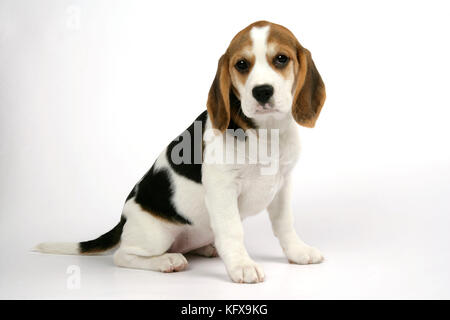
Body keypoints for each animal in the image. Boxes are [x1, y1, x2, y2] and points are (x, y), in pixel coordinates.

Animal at [34, 21, 324, 284]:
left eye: (281, 59)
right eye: (242, 64)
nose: (262, 91)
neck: (266, 132)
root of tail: (123, 219)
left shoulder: (282, 185)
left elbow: (285, 224)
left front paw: (298, 252)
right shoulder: (222, 188)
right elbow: (233, 231)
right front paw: (242, 266)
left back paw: (206, 248)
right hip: (154, 235)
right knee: (123, 256)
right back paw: (167, 261)